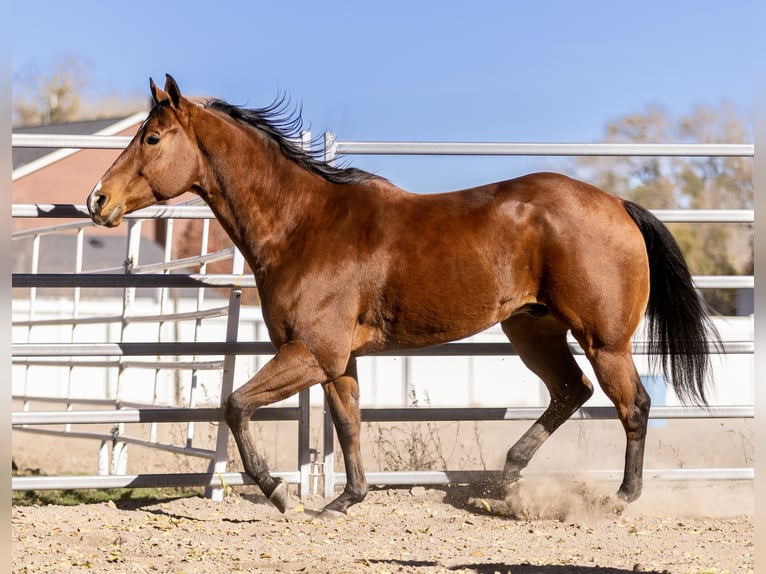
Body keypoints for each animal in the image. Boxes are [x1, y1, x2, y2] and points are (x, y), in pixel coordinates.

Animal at [88, 75, 715, 516]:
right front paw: (344, 501)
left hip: (604, 340)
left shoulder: (312, 353)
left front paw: (278, 493)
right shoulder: (337, 361)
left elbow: (236, 404)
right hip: (532, 329)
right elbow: (347, 424)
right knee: (570, 392)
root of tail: (618, 206)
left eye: (152, 138)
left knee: (633, 406)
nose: (98, 200)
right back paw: (506, 478)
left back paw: (620, 498)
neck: (303, 224)